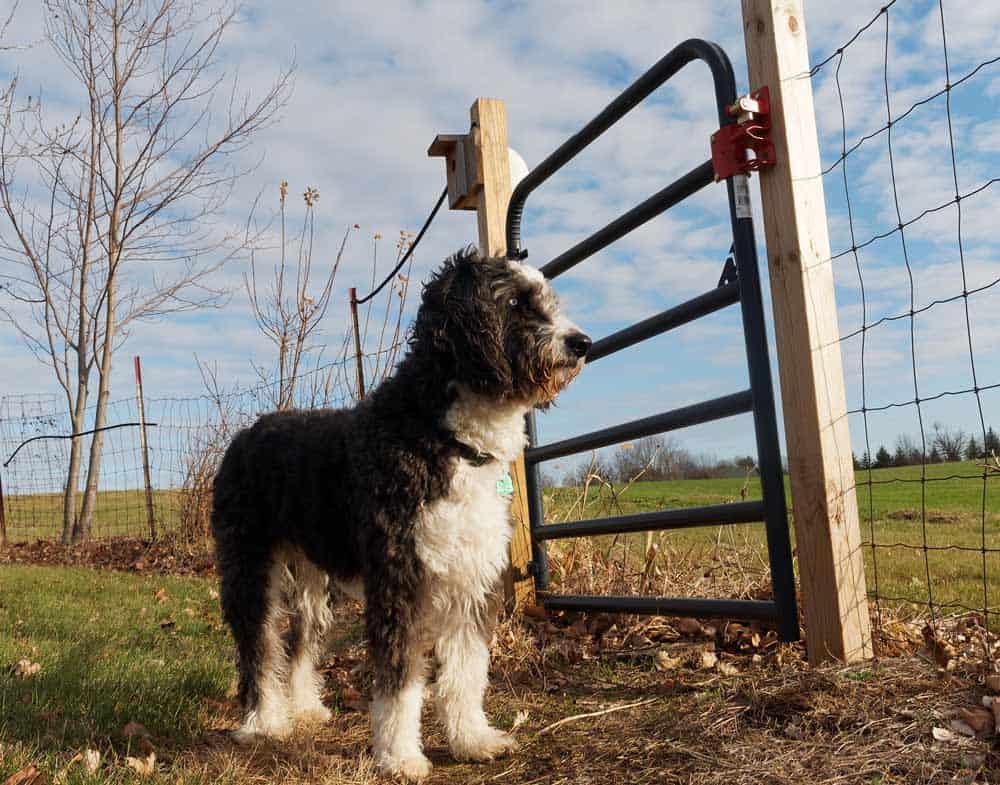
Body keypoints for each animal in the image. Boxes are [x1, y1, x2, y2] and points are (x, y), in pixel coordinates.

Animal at [211, 247, 584, 776]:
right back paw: (264, 721)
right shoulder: (399, 582)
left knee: (302, 640)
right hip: (249, 567)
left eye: (548, 299)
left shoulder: (472, 580)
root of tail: (248, 432)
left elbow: (467, 670)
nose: (582, 343)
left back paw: (304, 707)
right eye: (515, 302)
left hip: (315, 582)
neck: (445, 436)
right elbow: (400, 680)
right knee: (258, 645)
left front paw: (472, 738)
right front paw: (399, 756)